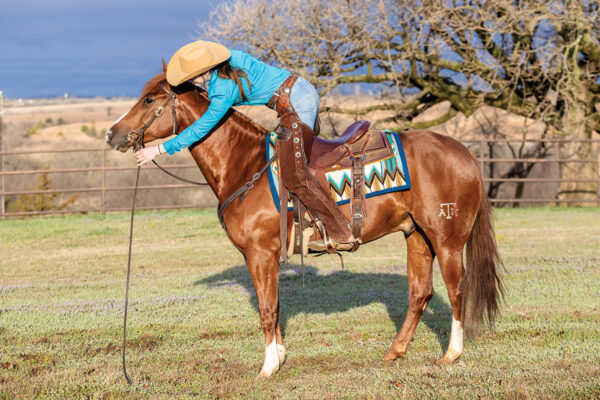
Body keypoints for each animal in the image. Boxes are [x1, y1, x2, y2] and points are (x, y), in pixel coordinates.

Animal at [106, 69, 502, 378]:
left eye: (149, 99)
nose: (112, 133)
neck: (245, 165)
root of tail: (464, 151)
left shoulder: (260, 253)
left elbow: (267, 309)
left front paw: (268, 367)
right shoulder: (262, 257)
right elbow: (273, 305)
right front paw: (279, 356)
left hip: (447, 239)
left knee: (457, 290)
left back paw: (451, 354)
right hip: (416, 236)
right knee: (420, 293)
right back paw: (395, 352)